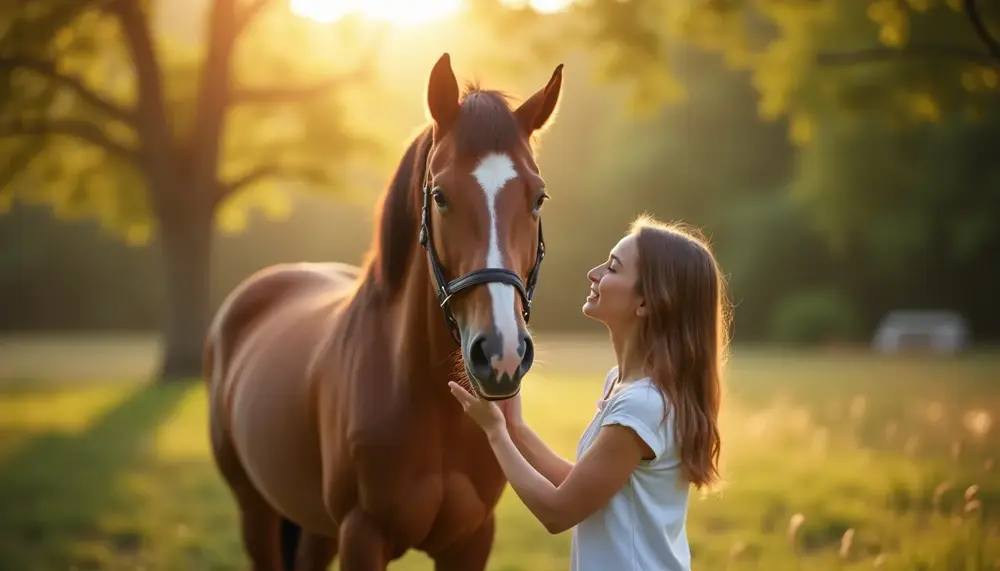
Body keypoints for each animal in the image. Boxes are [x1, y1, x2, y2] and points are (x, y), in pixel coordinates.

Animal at [203, 53, 564, 571]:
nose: (502, 354)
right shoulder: (362, 535)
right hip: (256, 512)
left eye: (538, 197)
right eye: (440, 195)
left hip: (316, 529)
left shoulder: (472, 540)